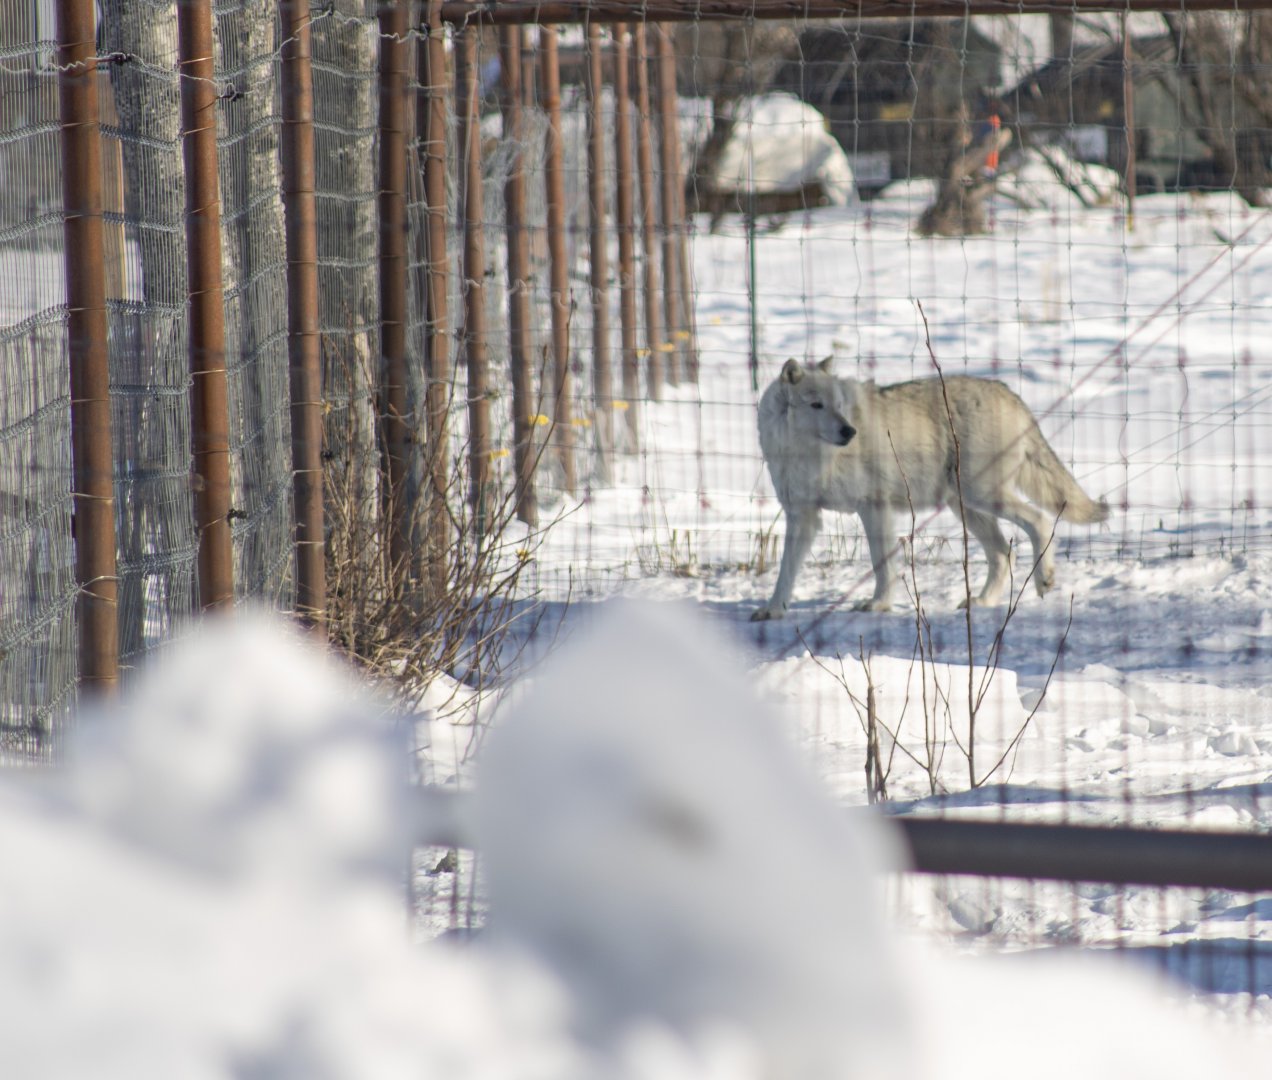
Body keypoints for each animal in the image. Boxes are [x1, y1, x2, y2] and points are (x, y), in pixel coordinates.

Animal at [751, 358, 1110, 621]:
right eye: (816, 405)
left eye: (839, 405)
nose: (849, 431)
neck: (812, 456)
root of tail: (1008, 391)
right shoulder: (803, 517)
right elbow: (785, 572)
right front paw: (773, 609)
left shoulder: (873, 507)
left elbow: (881, 564)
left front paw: (878, 604)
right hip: (967, 508)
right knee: (1002, 554)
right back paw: (981, 602)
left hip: (982, 496)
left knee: (1039, 521)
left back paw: (1043, 579)